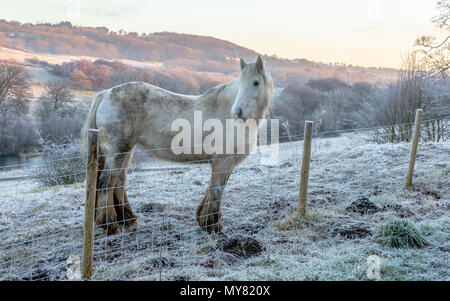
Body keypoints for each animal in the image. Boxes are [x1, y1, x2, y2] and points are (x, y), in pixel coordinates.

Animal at [80, 56, 274, 234]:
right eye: (240, 85)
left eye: (256, 82)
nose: (237, 112)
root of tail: (106, 93)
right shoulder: (223, 162)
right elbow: (217, 189)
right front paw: (213, 226)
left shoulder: (225, 163)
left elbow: (214, 188)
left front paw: (204, 220)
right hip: (117, 152)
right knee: (106, 183)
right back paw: (110, 225)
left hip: (126, 151)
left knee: (118, 182)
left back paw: (127, 219)